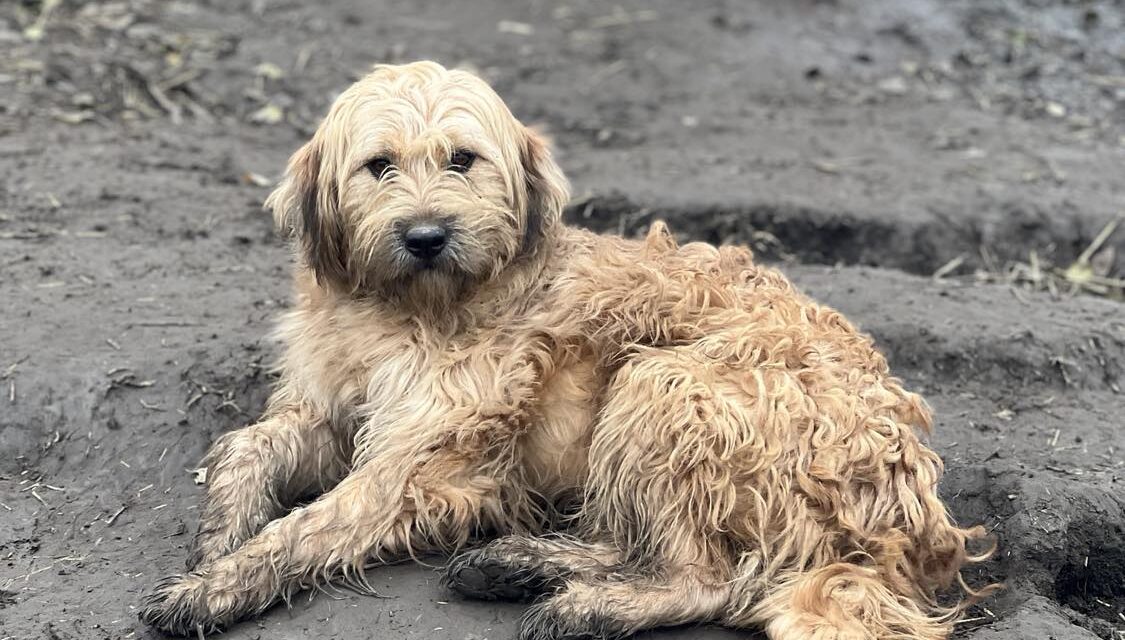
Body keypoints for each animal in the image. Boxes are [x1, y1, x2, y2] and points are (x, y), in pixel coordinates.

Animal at [140, 61, 994, 638]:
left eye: (462, 158)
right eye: (378, 165)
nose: (425, 235)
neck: (409, 307)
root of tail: (902, 525)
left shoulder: (419, 460)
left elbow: (315, 523)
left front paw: (219, 586)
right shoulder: (326, 410)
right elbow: (247, 444)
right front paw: (220, 534)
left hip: (664, 383)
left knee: (706, 579)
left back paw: (582, 603)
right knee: (650, 547)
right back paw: (522, 562)